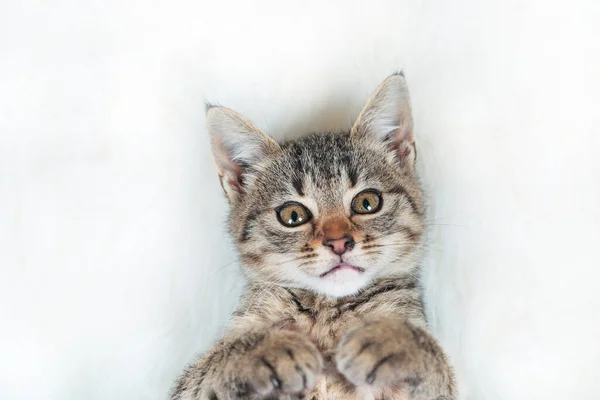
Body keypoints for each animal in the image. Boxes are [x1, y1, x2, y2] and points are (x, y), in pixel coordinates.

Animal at [171, 73, 458, 398]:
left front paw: (391, 340)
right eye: (292, 215)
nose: (339, 243)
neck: (327, 313)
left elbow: (435, 364)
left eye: (367, 202)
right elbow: (207, 371)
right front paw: (270, 348)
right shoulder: (187, 387)